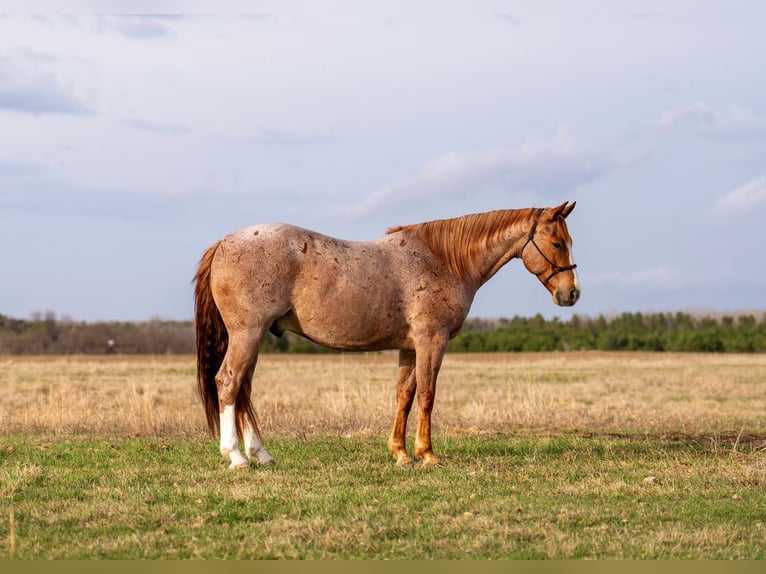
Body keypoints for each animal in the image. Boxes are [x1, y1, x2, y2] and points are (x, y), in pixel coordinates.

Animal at [194, 201, 580, 468]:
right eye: (557, 243)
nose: (571, 294)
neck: (442, 261)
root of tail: (224, 243)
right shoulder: (431, 342)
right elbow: (427, 395)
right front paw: (427, 454)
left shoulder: (409, 348)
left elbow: (404, 395)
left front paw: (401, 453)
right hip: (247, 334)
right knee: (228, 382)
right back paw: (236, 457)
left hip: (253, 337)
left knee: (243, 388)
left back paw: (260, 454)